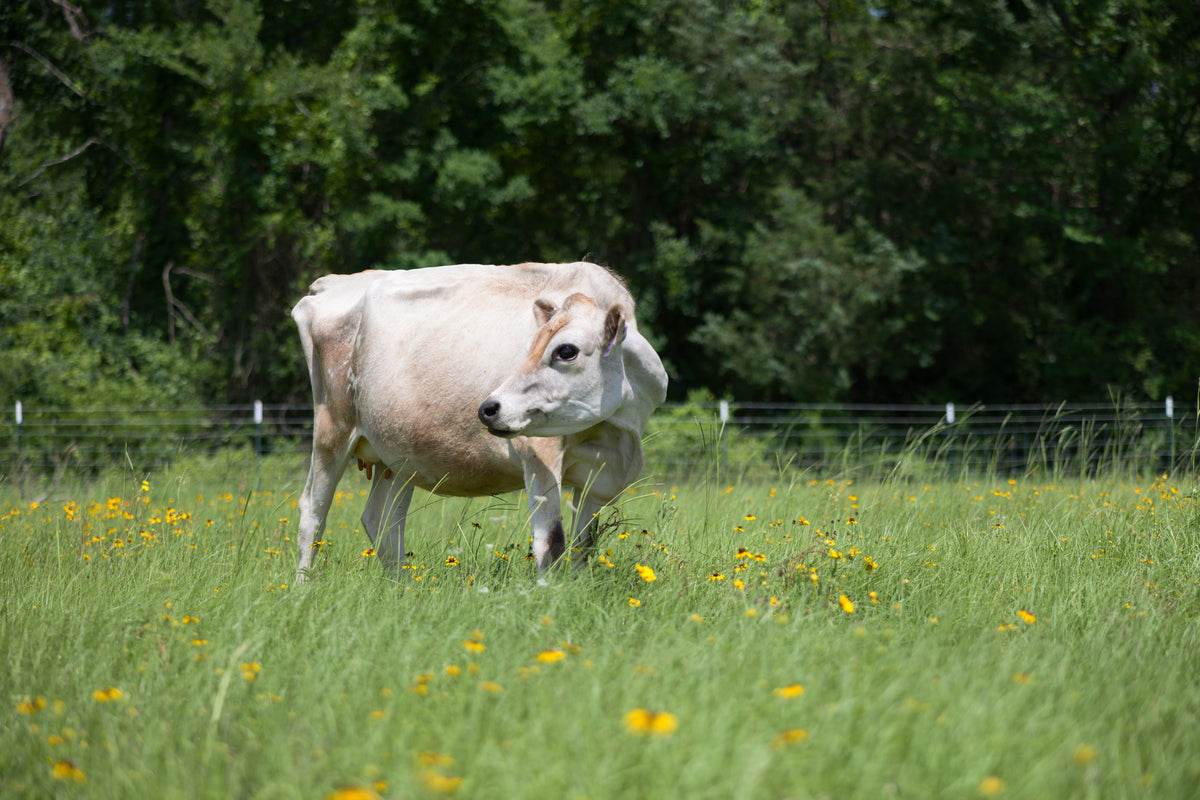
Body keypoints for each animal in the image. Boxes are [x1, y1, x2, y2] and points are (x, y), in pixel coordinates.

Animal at [291, 261, 668, 583]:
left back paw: (403, 587)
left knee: (382, 521)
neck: (617, 431)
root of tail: (332, 283)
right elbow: (551, 543)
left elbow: (583, 545)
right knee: (314, 510)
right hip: (332, 429)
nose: (488, 408)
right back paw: (302, 587)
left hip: (397, 455)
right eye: (529, 346)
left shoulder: (600, 476)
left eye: (566, 351)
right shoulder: (540, 456)